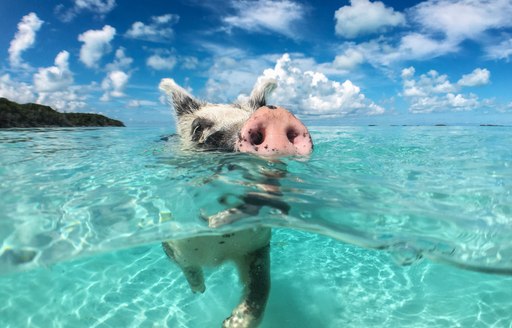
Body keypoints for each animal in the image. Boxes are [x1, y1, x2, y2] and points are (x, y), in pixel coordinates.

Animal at [159, 77, 312, 328]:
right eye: (198, 128)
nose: (274, 115)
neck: (217, 249)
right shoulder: (172, 241)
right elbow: (187, 266)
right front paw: (199, 290)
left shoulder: (258, 246)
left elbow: (262, 284)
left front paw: (231, 323)